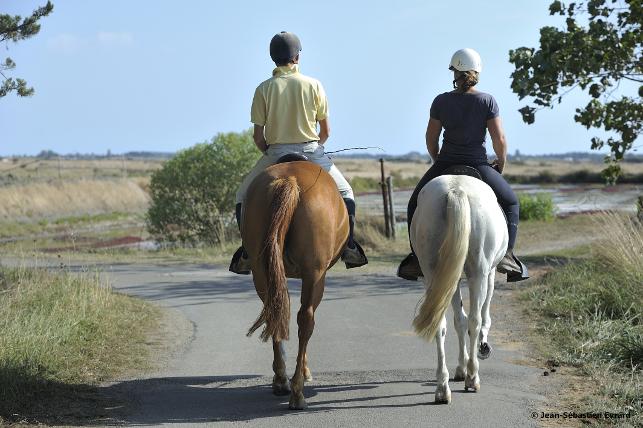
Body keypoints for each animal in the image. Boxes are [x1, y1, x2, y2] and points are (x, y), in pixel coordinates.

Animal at [243, 160, 352, 408]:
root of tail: (289, 180)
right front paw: (305, 370)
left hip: (261, 272)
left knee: (273, 312)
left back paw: (281, 380)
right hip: (315, 274)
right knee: (306, 320)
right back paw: (297, 390)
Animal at [412, 174, 508, 404]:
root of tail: (456, 190)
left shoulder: (449, 279)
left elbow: (458, 321)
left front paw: (460, 368)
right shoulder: (490, 273)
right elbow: (482, 317)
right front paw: (479, 352)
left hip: (433, 273)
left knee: (440, 324)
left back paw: (442, 388)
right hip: (479, 273)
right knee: (475, 319)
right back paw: (472, 377)